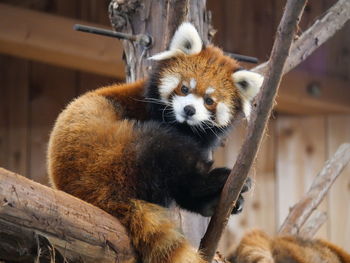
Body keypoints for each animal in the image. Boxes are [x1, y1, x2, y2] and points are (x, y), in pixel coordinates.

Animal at [47, 22, 264, 263]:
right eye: (184, 88)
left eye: (209, 101)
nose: (189, 110)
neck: (185, 127)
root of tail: (93, 194)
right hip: (113, 153)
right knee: (169, 159)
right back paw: (219, 180)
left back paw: (214, 202)